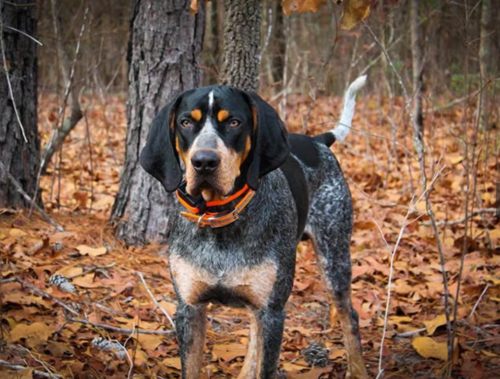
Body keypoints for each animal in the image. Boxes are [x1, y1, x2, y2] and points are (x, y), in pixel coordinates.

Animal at [141, 75, 368, 378]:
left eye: (234, 122)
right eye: (186, 122)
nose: (204, 162)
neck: (219, 220)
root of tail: (316, 141)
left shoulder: (272, 311)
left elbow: (266, 365)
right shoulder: (189, 308)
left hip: (334, 256)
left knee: (349, 315)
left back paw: (359, 369)